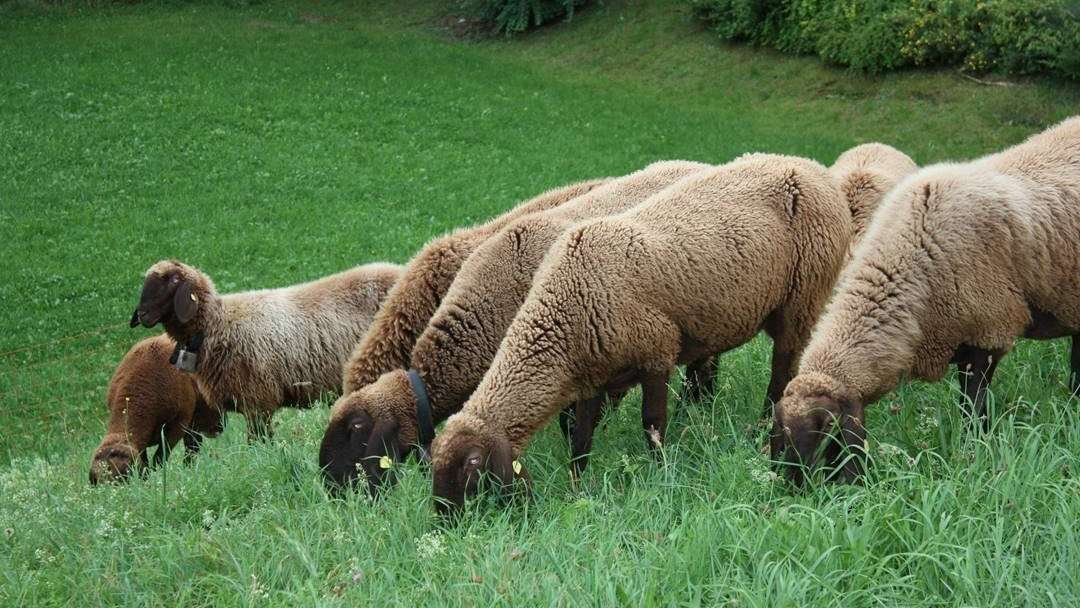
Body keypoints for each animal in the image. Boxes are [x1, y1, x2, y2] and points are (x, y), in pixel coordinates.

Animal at [430, 153, 856, 512]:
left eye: (469, 469)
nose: (445, 523)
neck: (564, 310)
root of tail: (814, 169)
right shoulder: (592, 377)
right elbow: (581, 438)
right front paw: (577, 486)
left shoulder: (657, 352)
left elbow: (652, 424)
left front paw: (660, 472)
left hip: (803, 299)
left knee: (782, 368)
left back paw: (763, 424)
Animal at [771, 117, 1080, 486]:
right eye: (781, 435)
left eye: (823, 434)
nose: (796, 490)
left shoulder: (988, 332)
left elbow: (974, 408)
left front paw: (976, 451)